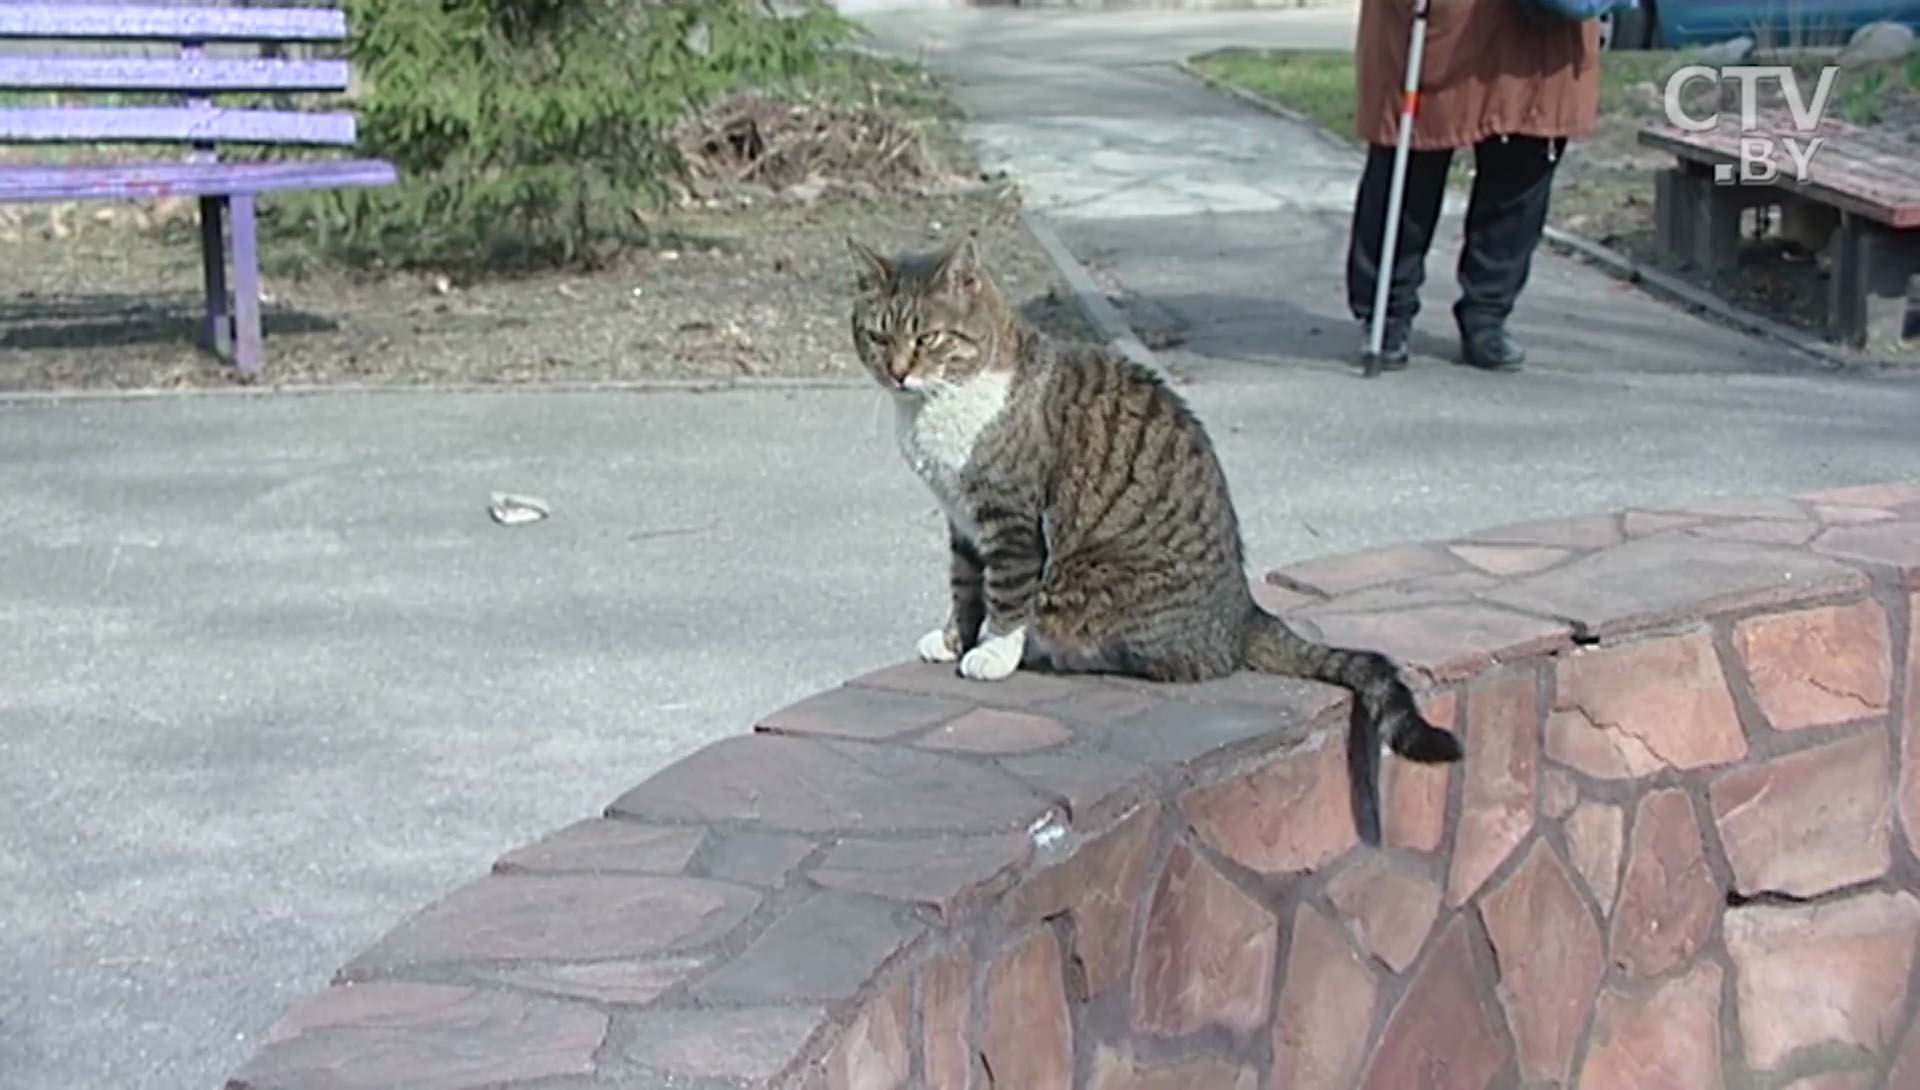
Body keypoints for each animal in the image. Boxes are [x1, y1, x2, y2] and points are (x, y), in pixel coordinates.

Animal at [848, 230, 1459, 844]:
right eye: (877, 335)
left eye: (927, 337)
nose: (897, 372)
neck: (936, 407)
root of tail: (1243, 611)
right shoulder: (962, 522)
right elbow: (963, 587)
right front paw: (954, 640)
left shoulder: (1010, 520)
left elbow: (1004, 594)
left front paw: (992, 652)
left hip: (1088, 580)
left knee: (1166, 659)